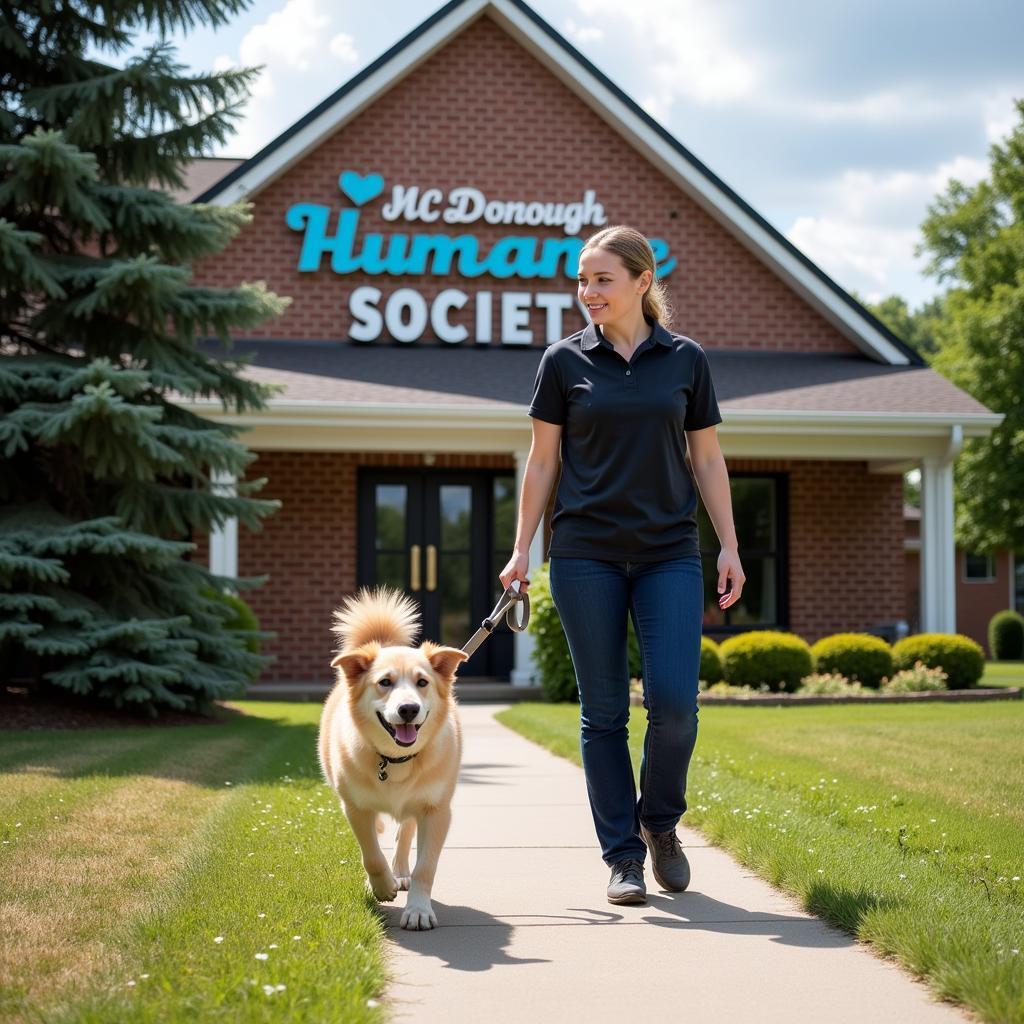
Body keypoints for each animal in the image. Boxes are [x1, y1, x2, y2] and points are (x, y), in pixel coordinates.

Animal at [315, 585, 468, 929]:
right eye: (385, 682)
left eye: (422, 682)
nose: (408, 709)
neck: (396, 759)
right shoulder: (355, 808)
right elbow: (371, 854)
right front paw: (382, 886)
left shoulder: (436, 811)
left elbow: (425, 867)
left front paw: (418, 910)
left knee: (404, 832)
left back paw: (400, 871)